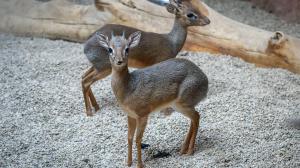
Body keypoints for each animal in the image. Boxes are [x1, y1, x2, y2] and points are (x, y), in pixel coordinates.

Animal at [81, 0, 210, 115]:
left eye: (197, 8)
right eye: (190, 14)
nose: (208, 20)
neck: (171, 42)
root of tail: (88, 39)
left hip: (97, 66)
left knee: (83, 77)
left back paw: (96, 107)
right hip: (104, 68)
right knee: (86, 81)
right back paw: (89, 112)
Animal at [96, 30, 209, 167]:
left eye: (127, 48)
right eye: (110, 49)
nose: (119, 61)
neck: (128, 88)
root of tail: (205, 80)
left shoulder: (143, 115)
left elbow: (138, 139)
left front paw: (140, 164)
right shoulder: (130, 115)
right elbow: (129, 138)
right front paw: (128, 162)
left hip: (183, 103)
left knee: (197, 117)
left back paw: (190, 151)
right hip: (180, 106)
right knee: (193, 119)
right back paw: (183, 149)